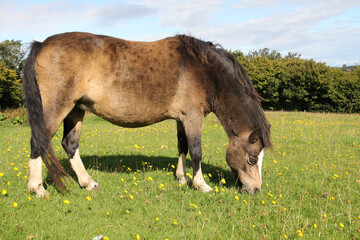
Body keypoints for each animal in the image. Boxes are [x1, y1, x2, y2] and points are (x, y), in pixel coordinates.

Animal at [22, 31, 272, 197]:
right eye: (252, 159)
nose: (256, 190)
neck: (204, 70)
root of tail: (42, 44)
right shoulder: (193, 117)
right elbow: (196, 151)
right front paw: (201, 185)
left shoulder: (181, 119)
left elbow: (182, 147)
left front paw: (181, 179)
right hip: (57, 108)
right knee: (38, 142)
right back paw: (38, 189)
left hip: (76, 110)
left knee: (70, 144)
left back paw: (88, 183)